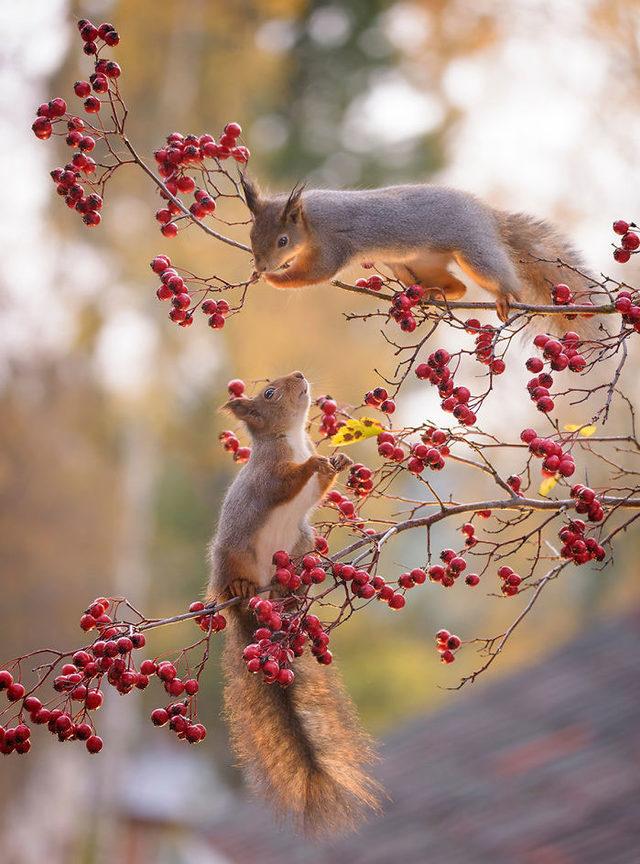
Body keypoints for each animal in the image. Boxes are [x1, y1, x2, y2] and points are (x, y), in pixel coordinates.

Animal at [209, 372, 380, 836]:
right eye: (268, 393)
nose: (300, 376)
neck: (292, 439)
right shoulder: (270, 474)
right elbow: (288, 481)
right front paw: (314, 463)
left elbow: (320, 486)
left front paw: (337, 460)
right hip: (232, 556)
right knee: (230, 582)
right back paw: (240, 587)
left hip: (301, 542)